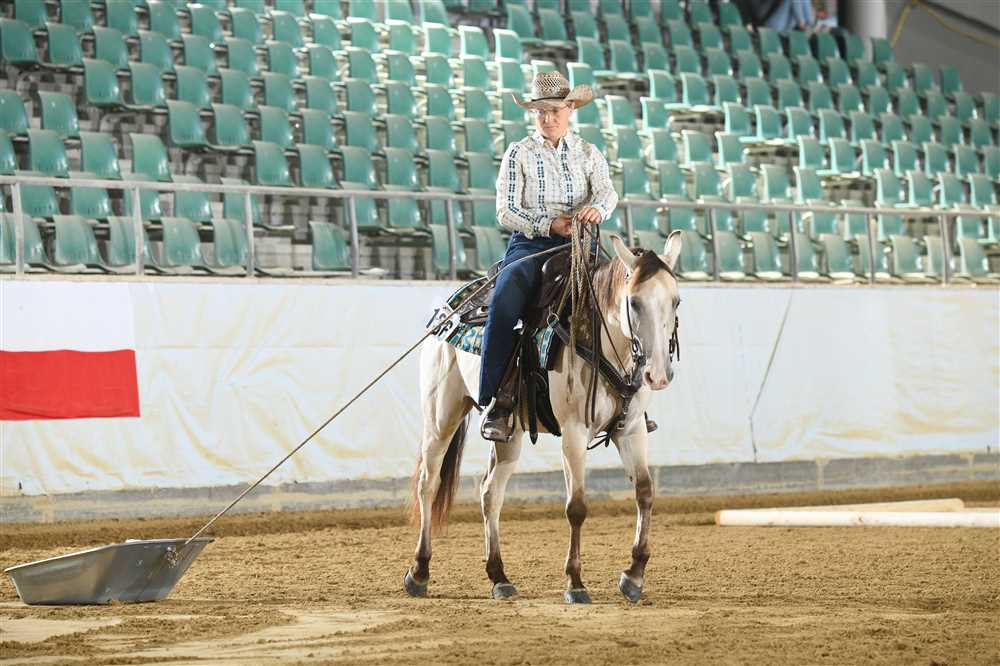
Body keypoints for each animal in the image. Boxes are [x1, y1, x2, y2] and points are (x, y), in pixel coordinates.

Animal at [404, 231, 683, 604]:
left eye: (676, 301)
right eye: (635, 302)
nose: (658, 374)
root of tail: (448, 309)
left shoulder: (632, 429)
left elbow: (645, 492)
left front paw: (633, 576)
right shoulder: (574, 433)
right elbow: (576, 506)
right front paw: (575, 583)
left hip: (509, 434)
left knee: (490, 492)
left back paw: (499, 577)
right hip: (441, 415)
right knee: (428, 484)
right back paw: (419, 572)